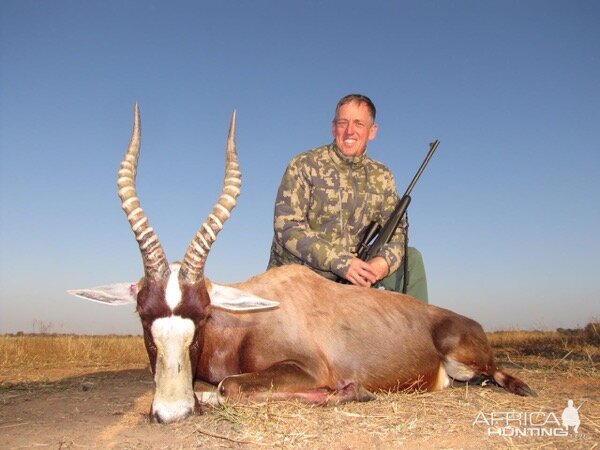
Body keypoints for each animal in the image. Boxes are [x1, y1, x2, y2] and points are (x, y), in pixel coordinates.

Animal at [69, 103, 536, 424]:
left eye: (201, 316)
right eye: (143, 316)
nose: (171, 412)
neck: (245, 322)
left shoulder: (306, 370)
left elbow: (229, 388)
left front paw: (352, 392)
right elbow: (213, 388)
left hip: (469, 358)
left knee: (501, 376)